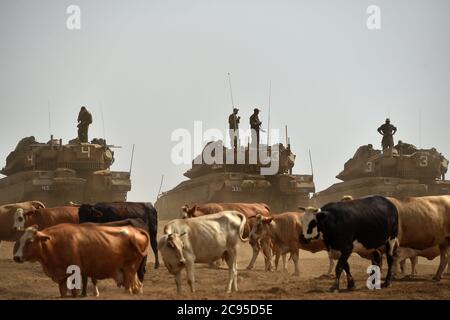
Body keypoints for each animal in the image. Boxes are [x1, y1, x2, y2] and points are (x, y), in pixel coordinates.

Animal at [12, 222, 148, 298]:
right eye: (21, 240)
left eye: (30, 241)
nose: (16, 257)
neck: (54, 243)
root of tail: (133, 230)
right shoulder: (61, 276)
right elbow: (63, 291)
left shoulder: (75, 271)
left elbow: (75, 290)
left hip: (130, 268)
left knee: (129, 283)